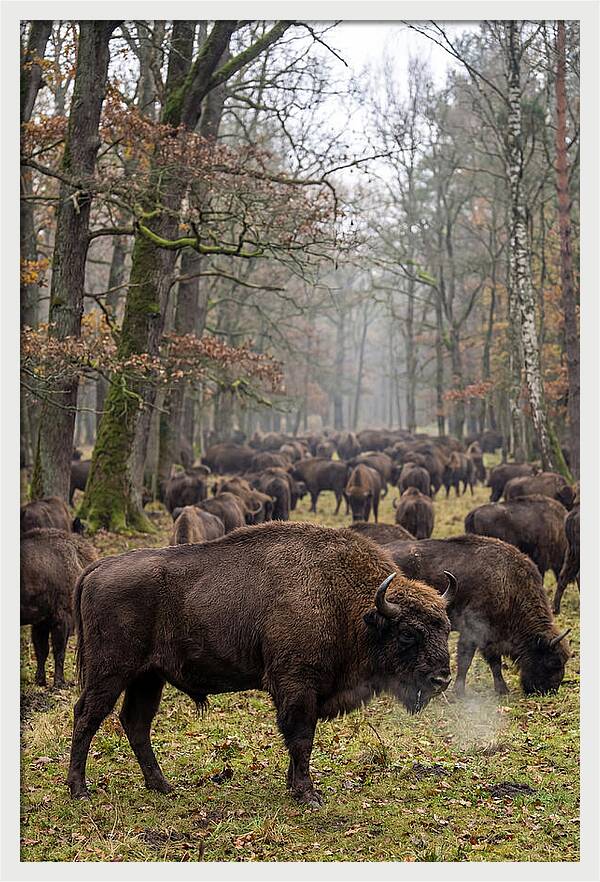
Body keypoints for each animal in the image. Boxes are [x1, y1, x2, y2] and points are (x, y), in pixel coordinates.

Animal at [67, 522, 453, 805]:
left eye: (446, 627)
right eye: (408, 633)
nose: (442, 679)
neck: (349, 604)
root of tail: (97, 568)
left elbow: (299, 741)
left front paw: (293, 786)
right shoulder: (297, 684)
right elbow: (301, 737)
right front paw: (308, 795)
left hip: (148, 677)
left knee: (136, 723)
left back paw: (163, 786)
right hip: (110, 672)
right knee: (87, 716)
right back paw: (79, 791)